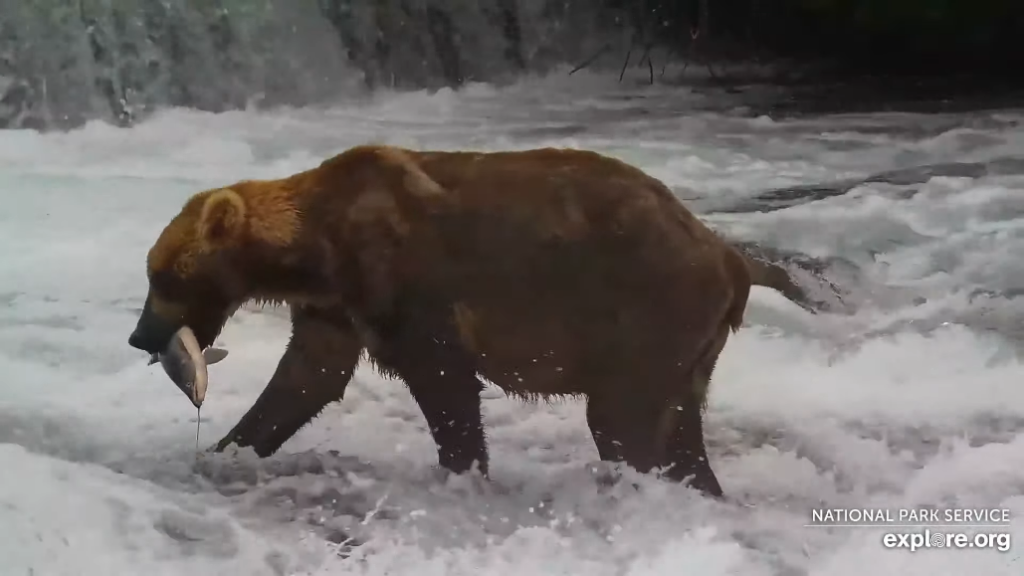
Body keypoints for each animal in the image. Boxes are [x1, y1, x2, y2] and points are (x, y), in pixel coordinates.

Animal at [130, 142, 806, 494]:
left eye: (163, 277)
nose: (140, 335)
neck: (313, 250)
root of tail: (729, 253)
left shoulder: (403, 282)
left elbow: (445, 382)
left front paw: (461, 469)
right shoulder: (335, 308)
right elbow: (304, 381)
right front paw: (226, 450)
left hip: (646, 313)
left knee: (623, 421)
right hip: (692, 346)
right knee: (684, 430)